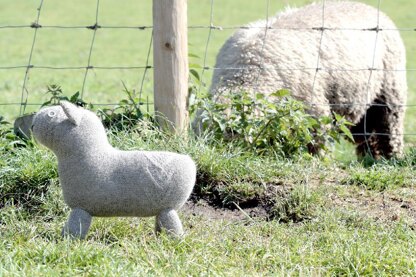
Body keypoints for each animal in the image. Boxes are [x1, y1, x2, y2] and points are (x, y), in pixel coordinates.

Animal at [31, 101, 196, 237]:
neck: (91, 154)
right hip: (162, 208)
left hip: (168, 208)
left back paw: (174, 240)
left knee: (172, 224)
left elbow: (76, 226)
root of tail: (190, 163)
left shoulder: (80, 209)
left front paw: (67, 239)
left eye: (52, 114)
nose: (32, 125)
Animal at [198, 1, 406, 158]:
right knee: (368, 137)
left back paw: (390, 160)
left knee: (388, 133)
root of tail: (370, 7)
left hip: (389, 95)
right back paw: (370, 160)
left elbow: (316, 145)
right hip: (357, 105)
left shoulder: (313, 113)